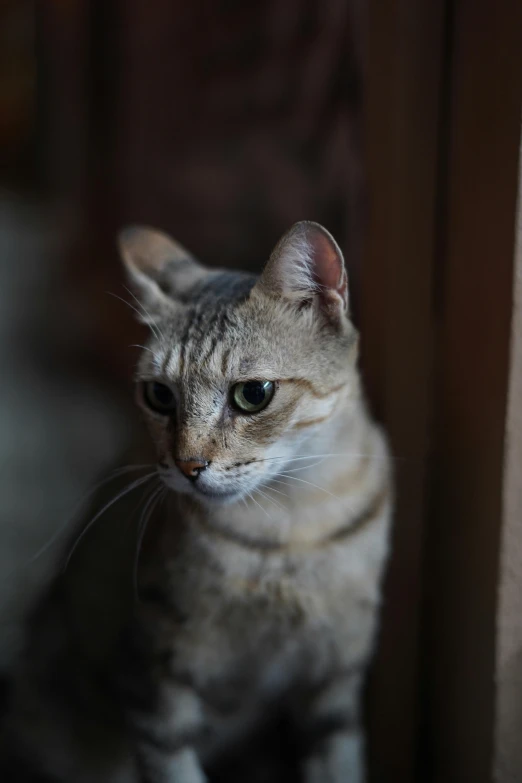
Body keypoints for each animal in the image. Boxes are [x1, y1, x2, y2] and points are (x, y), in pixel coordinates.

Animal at [0, 220, 390, 783]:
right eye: (159, 395)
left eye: (254, 394)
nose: (188, 466)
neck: (288, 529)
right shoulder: (155, 682)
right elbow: (174, 765)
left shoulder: (335, 676)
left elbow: (339, 761)